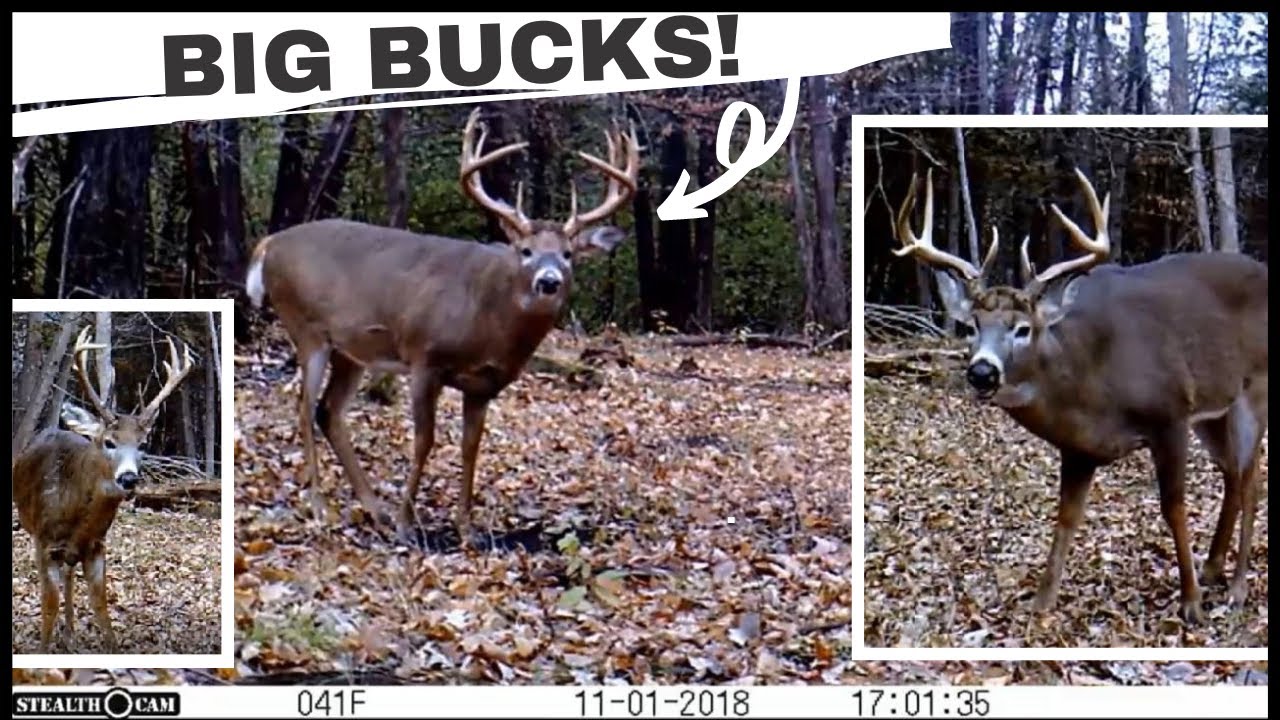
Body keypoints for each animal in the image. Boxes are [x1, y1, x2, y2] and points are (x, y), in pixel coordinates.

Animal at [12, 325, 194, 652]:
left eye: (143, 444)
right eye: (109, 442)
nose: (129, 479)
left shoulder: (97, 544)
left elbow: (101, 606)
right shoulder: (44, 542)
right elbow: (49, 604)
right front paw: (44, 648)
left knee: (70, 573)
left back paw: (70, 634)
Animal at [245, 107, 639, 547]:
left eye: (568, 254)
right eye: (526, 251)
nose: (549, 281)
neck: (488, 323)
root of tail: (269, 244)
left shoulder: (484, 384)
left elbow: (471, 446)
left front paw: (466, 527)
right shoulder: (424, 357)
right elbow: (424, 440)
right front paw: (407, 524)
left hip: (352, 350)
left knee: (328, 410)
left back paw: (374, 508)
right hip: (306, 327)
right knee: (302, 407)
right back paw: (321, 507)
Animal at [893, 167, 1268, 625]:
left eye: (1023, 328)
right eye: (972, 325)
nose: (982, 372)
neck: (1092, 389)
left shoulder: (1171, 413)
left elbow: (1173, 507)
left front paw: (1191, 602)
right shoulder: (1078, 448)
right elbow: (1067, 517)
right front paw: (1041, 603)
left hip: (1255, 390)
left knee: (1251, 481)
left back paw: (1236, 588)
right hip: (1215, 412)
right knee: (1232, 473)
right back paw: (1214, 568)